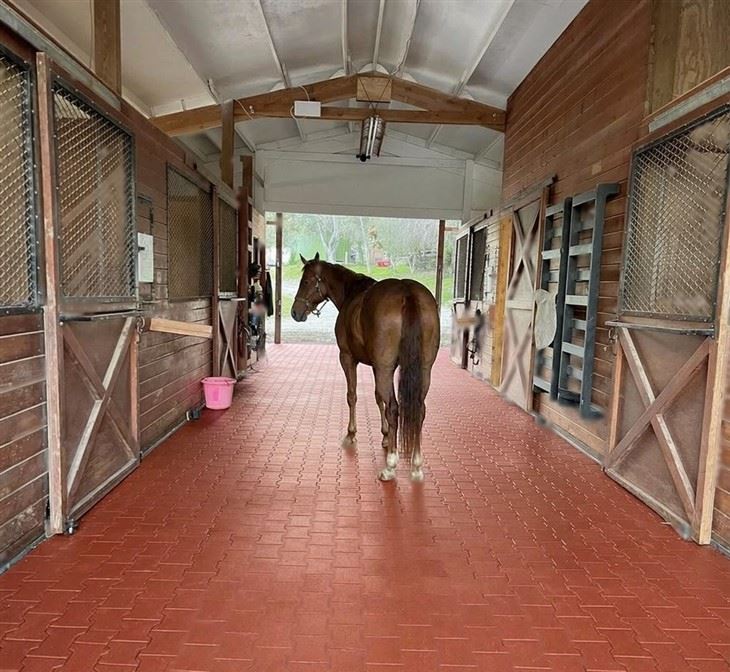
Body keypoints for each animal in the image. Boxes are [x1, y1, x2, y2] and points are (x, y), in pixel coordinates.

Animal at [291, 253, 440, 481]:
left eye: (306, 281)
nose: (295, 312)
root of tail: (407, 293)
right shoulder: (377, 366)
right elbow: (379, 398)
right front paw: (386, 436)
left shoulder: (348, 358)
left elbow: (352, 396)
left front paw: (351, 434)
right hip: (423, 370)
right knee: (419, 409)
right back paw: (416, 465)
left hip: (384, 369)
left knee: (395, 409)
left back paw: (390, 465)